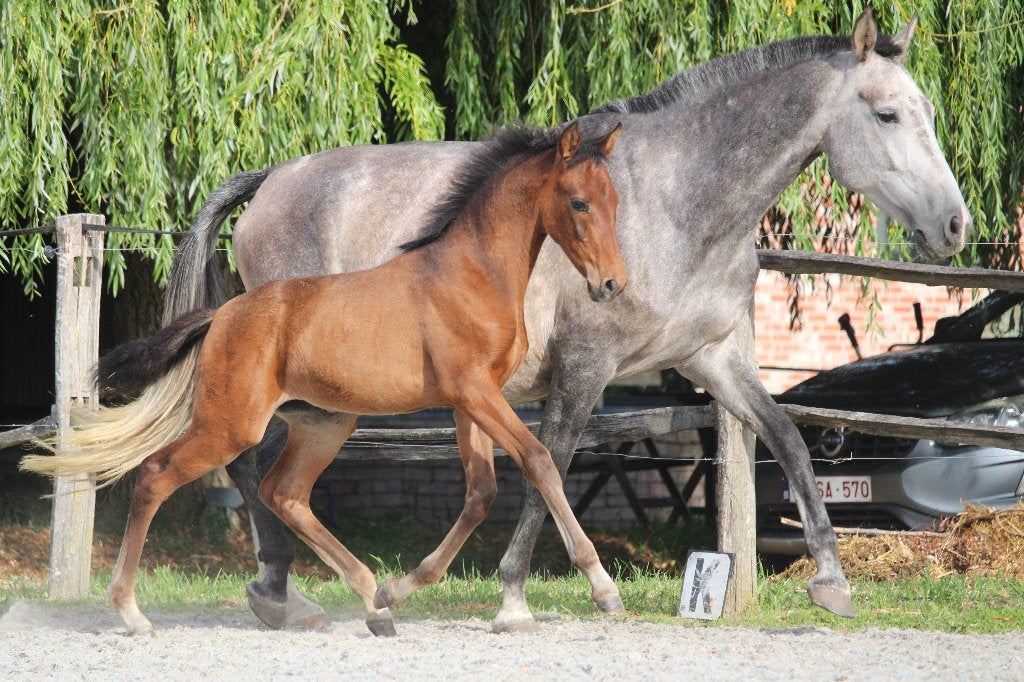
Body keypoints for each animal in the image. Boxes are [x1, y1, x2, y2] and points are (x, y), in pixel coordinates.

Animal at [22, 122, 627, 636]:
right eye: (578, 201)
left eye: (616, 201)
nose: (613, 284)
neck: (470, 274)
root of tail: (221, 315)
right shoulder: (475, 392)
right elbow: (540, 462)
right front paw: (603, 588)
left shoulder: (472, 401)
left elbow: (481, 493)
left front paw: (401, 587)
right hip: (231, 424)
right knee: (155, 475)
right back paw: (131, 612)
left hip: (325, 423)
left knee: (284, 494)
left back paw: (375, 604)